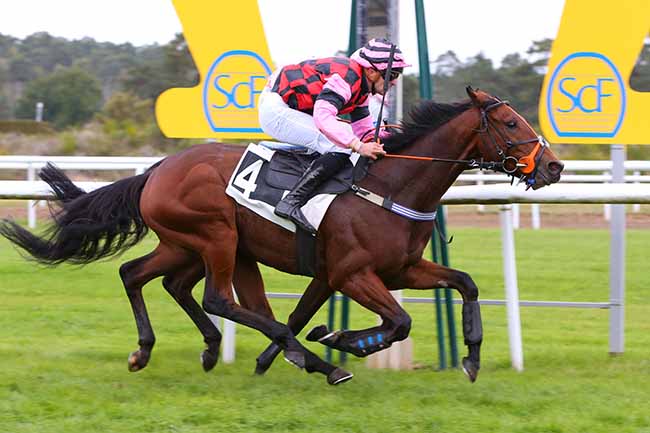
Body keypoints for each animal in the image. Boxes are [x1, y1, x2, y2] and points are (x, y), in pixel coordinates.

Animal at [0, 87, 563, 385]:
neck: (389, 186)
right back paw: (308, 358)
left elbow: (464, 283)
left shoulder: (395, 269)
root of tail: (158, 169)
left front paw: (471, 356)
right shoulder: (353, 273)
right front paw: (339, 342)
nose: (555, 166)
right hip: (215, 236)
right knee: (217, 298)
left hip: (186, 245)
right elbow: (397, 322)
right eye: (511, 123)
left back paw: (173, 349)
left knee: (142, 276)